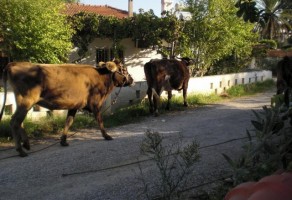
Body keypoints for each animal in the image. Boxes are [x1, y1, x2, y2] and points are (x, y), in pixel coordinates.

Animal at [0, 60, 134, 157]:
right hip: (26, 100)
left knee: (19, 121)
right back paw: (21, 150)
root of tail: (14, 63)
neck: (102, 79)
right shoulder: (95, 104)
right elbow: (100, 121)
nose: (132, 79)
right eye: (123, 69)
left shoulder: (74, 106)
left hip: (23, 102)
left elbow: (68, 122)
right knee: (15, 122)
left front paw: (63, 141)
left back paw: (26, 144)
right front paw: (106, 136)